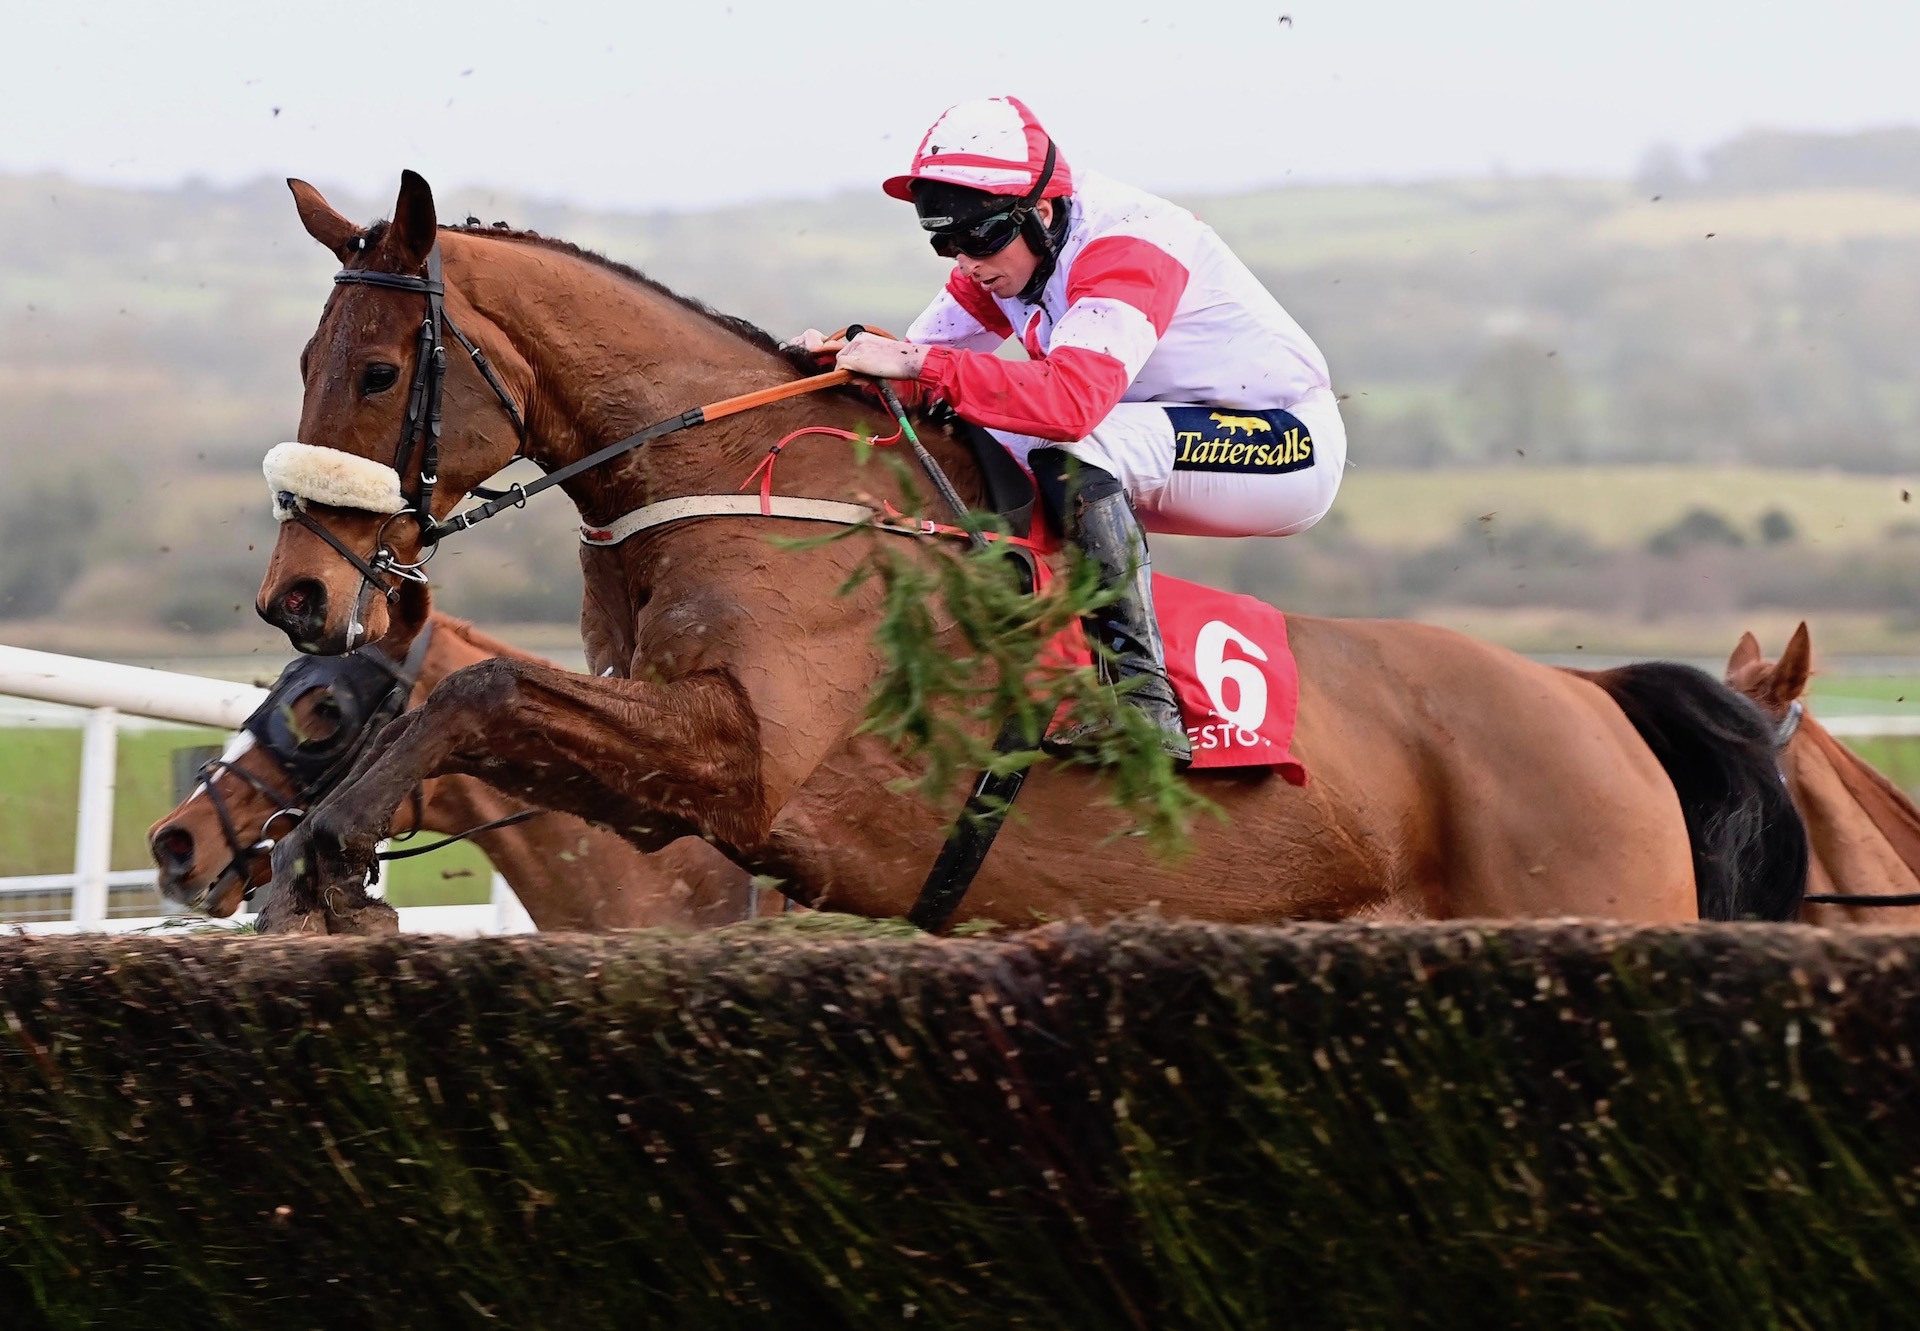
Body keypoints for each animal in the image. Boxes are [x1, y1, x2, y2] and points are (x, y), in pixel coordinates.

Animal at [247, 169, 1804, 933]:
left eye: (378, 371)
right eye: (306, 356)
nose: (297, 592)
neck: (738, 490)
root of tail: (1593, 701)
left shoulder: (742, 760)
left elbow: (480, 684)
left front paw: (318, 847)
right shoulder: (668, 790)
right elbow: (484, 694)